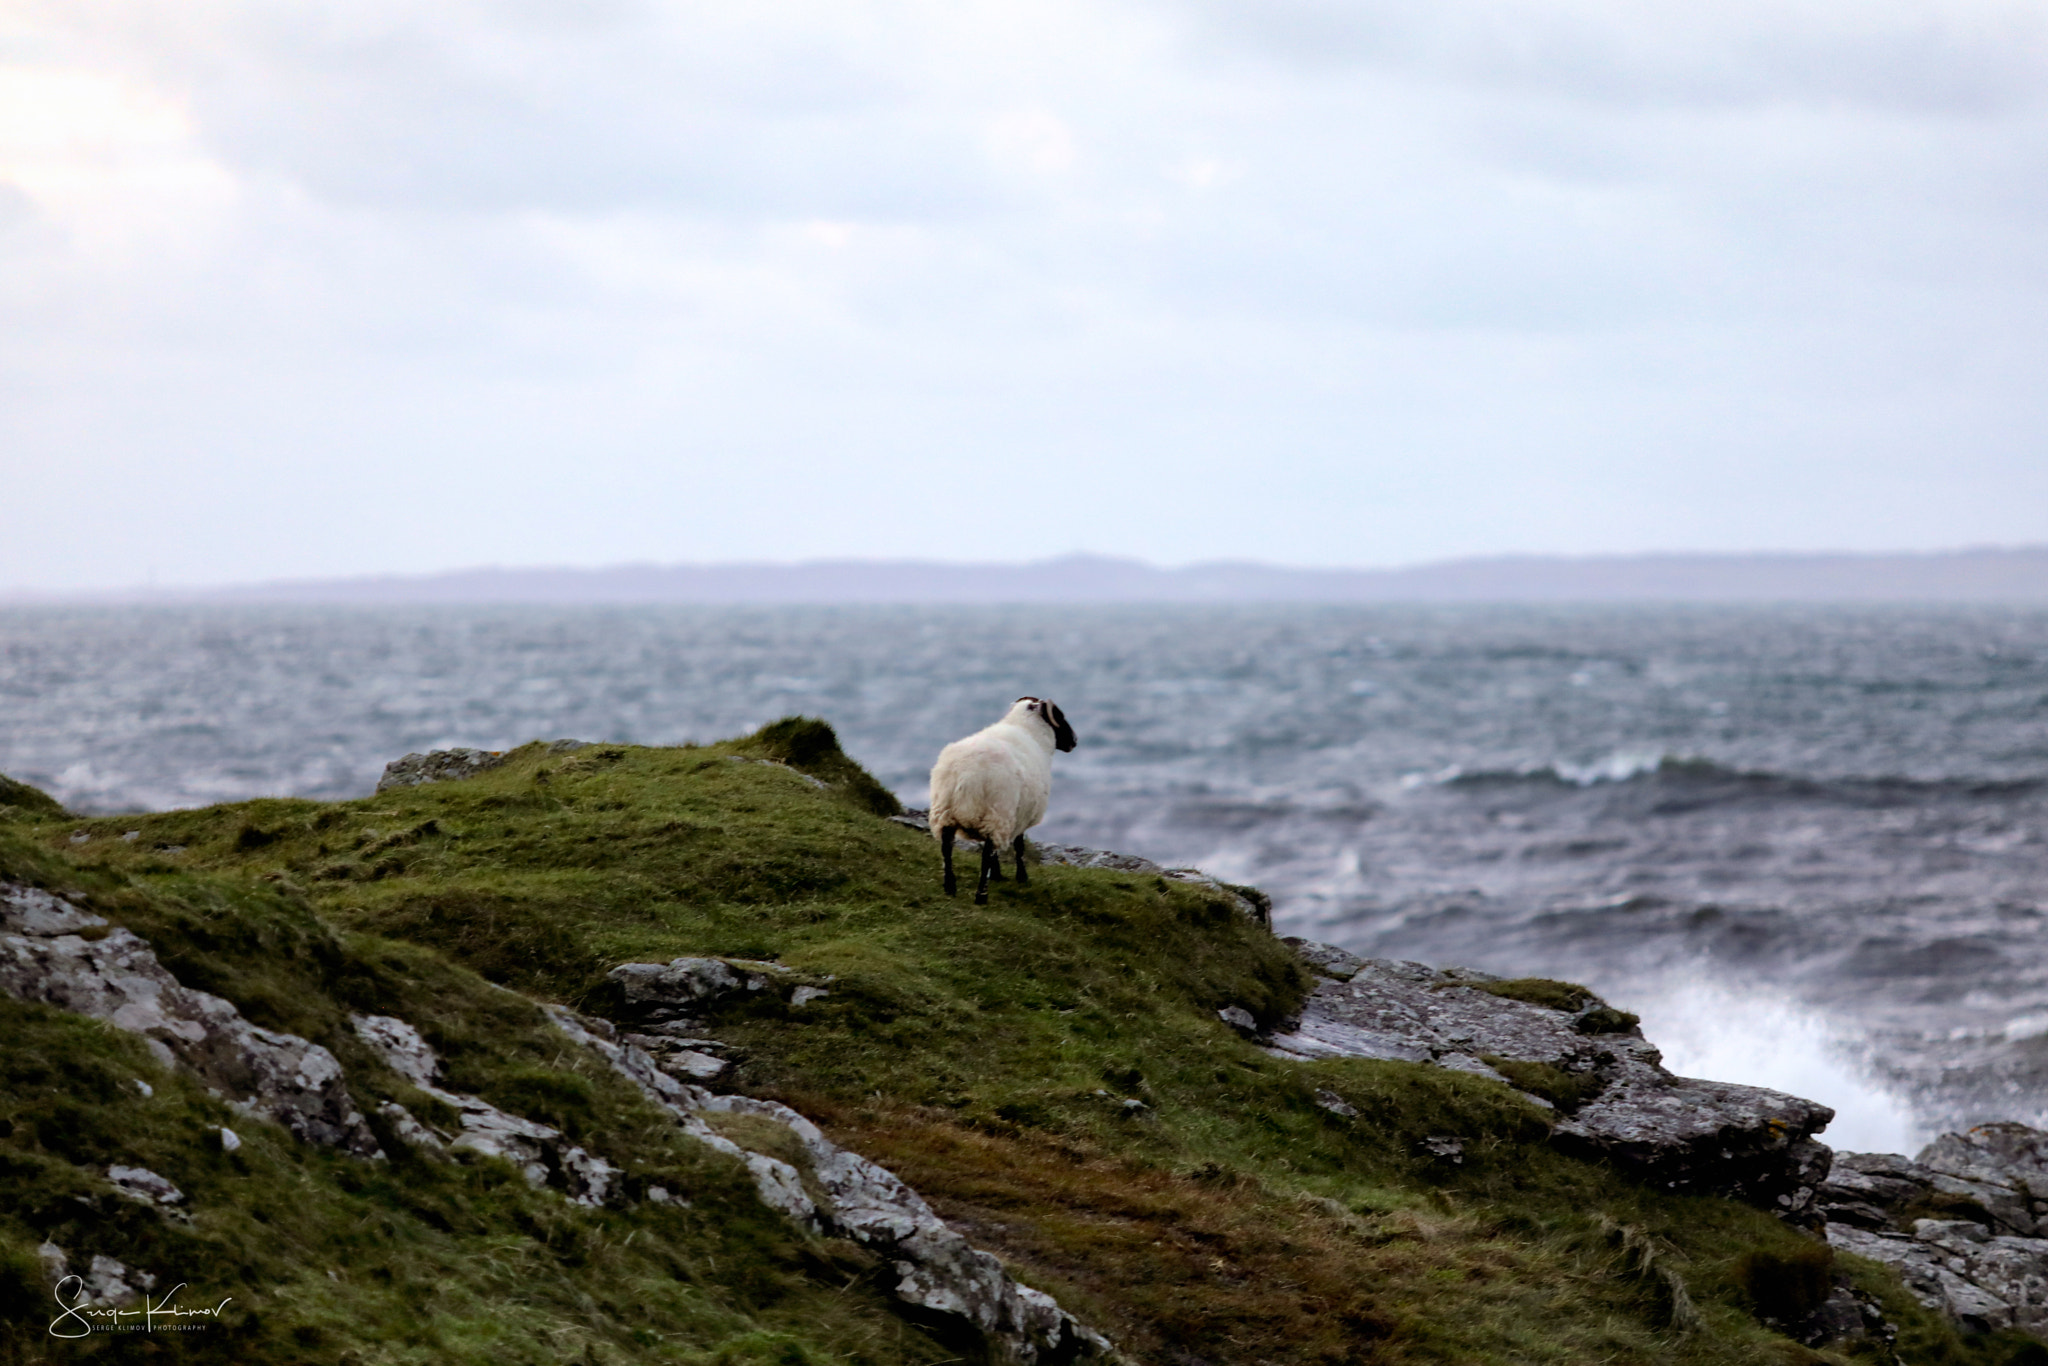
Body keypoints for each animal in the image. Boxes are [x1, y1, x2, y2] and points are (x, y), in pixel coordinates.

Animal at [929, 696, 1077, 905]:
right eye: (1060, 716)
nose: (1074, 741)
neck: (1028, 730)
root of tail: (966, 774)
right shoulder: (1020, 815)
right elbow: (1019, 847)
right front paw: (1021, 877)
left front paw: (999, 875)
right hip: (996, 813)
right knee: (986, 854)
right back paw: (981, 896)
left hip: (946, 813)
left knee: (947, 849)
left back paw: (950, 887)